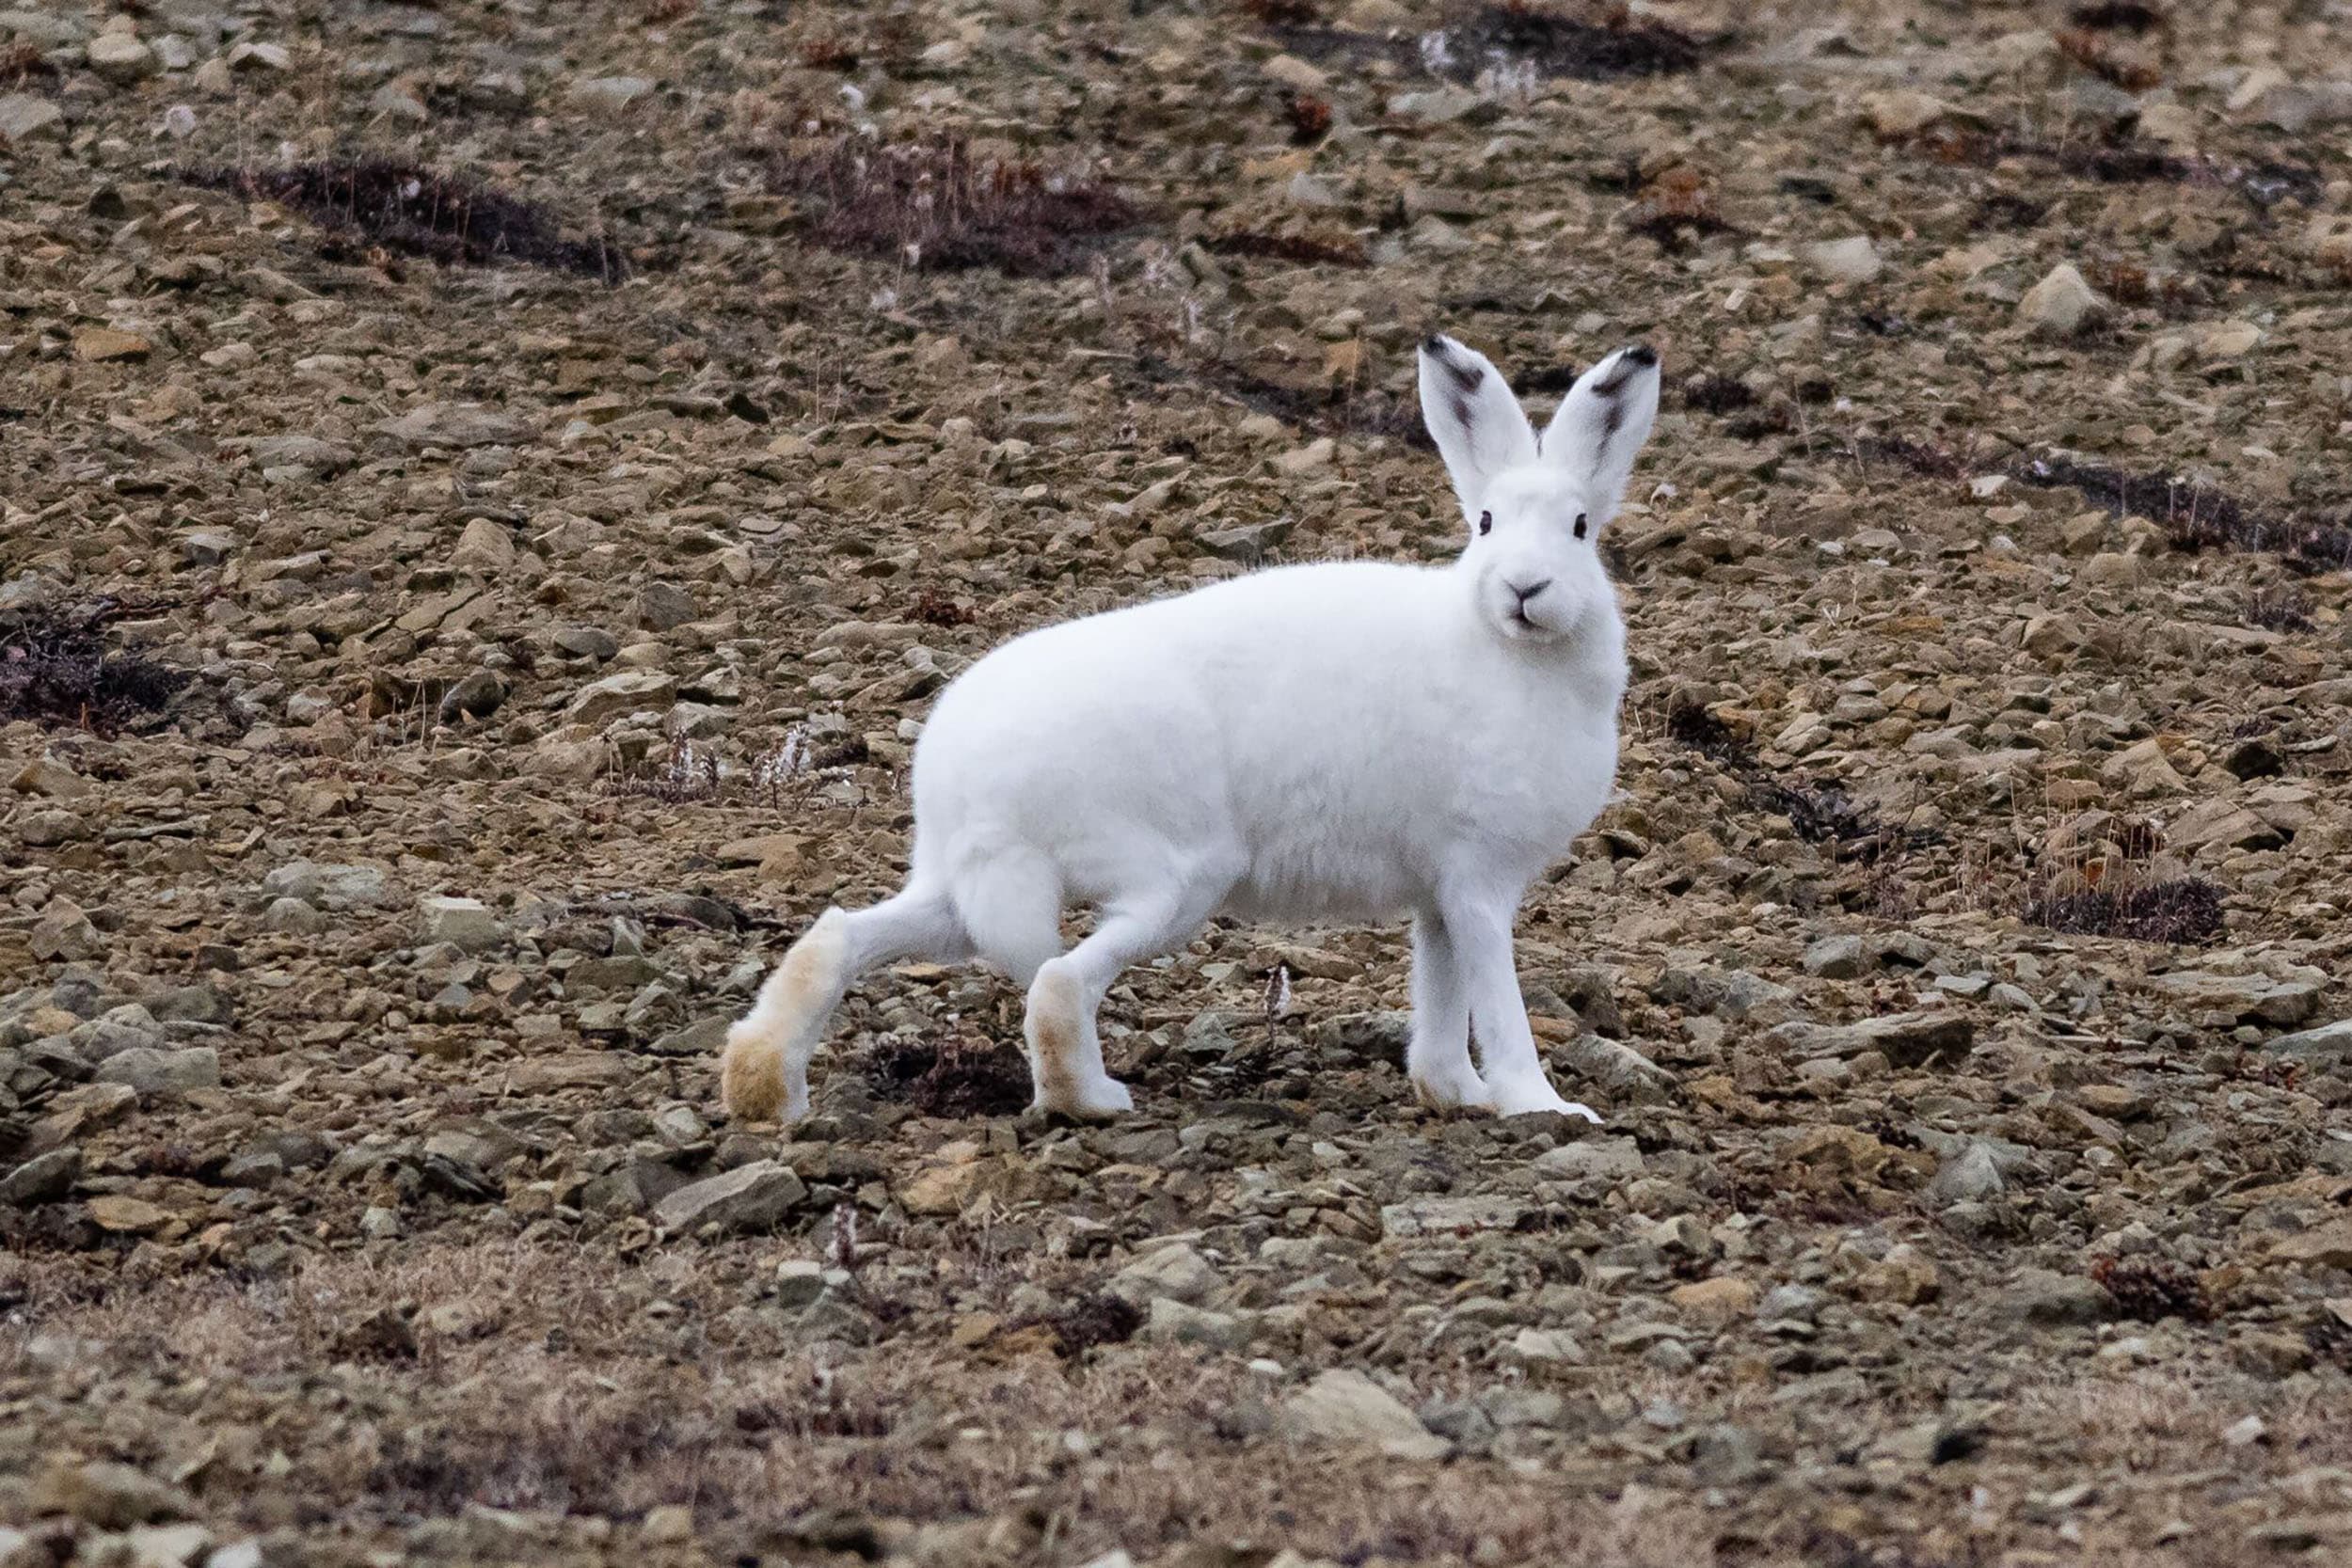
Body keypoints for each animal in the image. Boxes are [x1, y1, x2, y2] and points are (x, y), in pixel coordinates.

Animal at [721, 333, 1660, 1127]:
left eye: (1581, 528)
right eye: (1486, 523)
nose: (1525, 588)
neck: (1502, 644)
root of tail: (969, 782)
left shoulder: (1436, 894)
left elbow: (1440, 993)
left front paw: (1454, 1093)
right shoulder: (1478, 881)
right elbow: (1494, 998)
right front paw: (1543, 1106)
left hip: (959, 891)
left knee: (840, 937)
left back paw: (766, 1087)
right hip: (1180, 871)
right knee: (1058, 979)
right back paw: (1094, 1098)